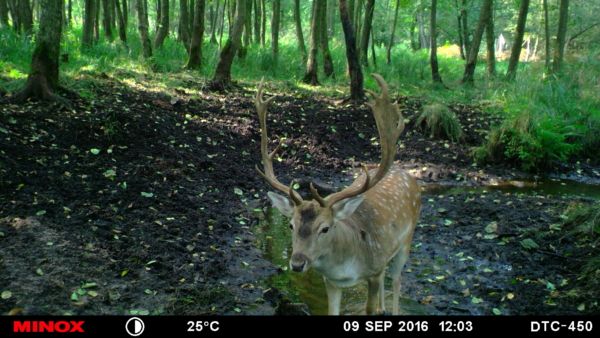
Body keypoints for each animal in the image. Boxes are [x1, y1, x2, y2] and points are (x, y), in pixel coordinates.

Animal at [255, 73, 420, 314]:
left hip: (406, 241)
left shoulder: (373, 271)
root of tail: (408, 174)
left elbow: (370, 308)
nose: (297, 264)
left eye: (325, 228)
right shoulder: (331, 282)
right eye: (291, 225)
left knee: (398, 280)